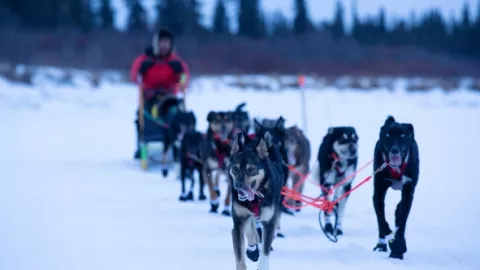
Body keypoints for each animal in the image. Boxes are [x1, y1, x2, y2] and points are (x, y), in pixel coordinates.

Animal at [230, 131, 284, 270]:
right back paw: (252, 250)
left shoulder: (269, 222)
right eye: (235, 169)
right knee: (251, 228)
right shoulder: (238, 223)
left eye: (251, 169)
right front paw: (251, 251)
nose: (237, 185)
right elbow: (240, 258)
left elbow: (265, 251)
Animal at [374, 116, 418, 260]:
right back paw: (381, 245)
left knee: (398, 211)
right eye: (387, 135)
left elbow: (402, 219)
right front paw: (394, 244)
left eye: (402, 135)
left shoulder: (408, 192)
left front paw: (398, 249)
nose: (394, 150)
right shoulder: (378, 192)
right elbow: (381, 220)